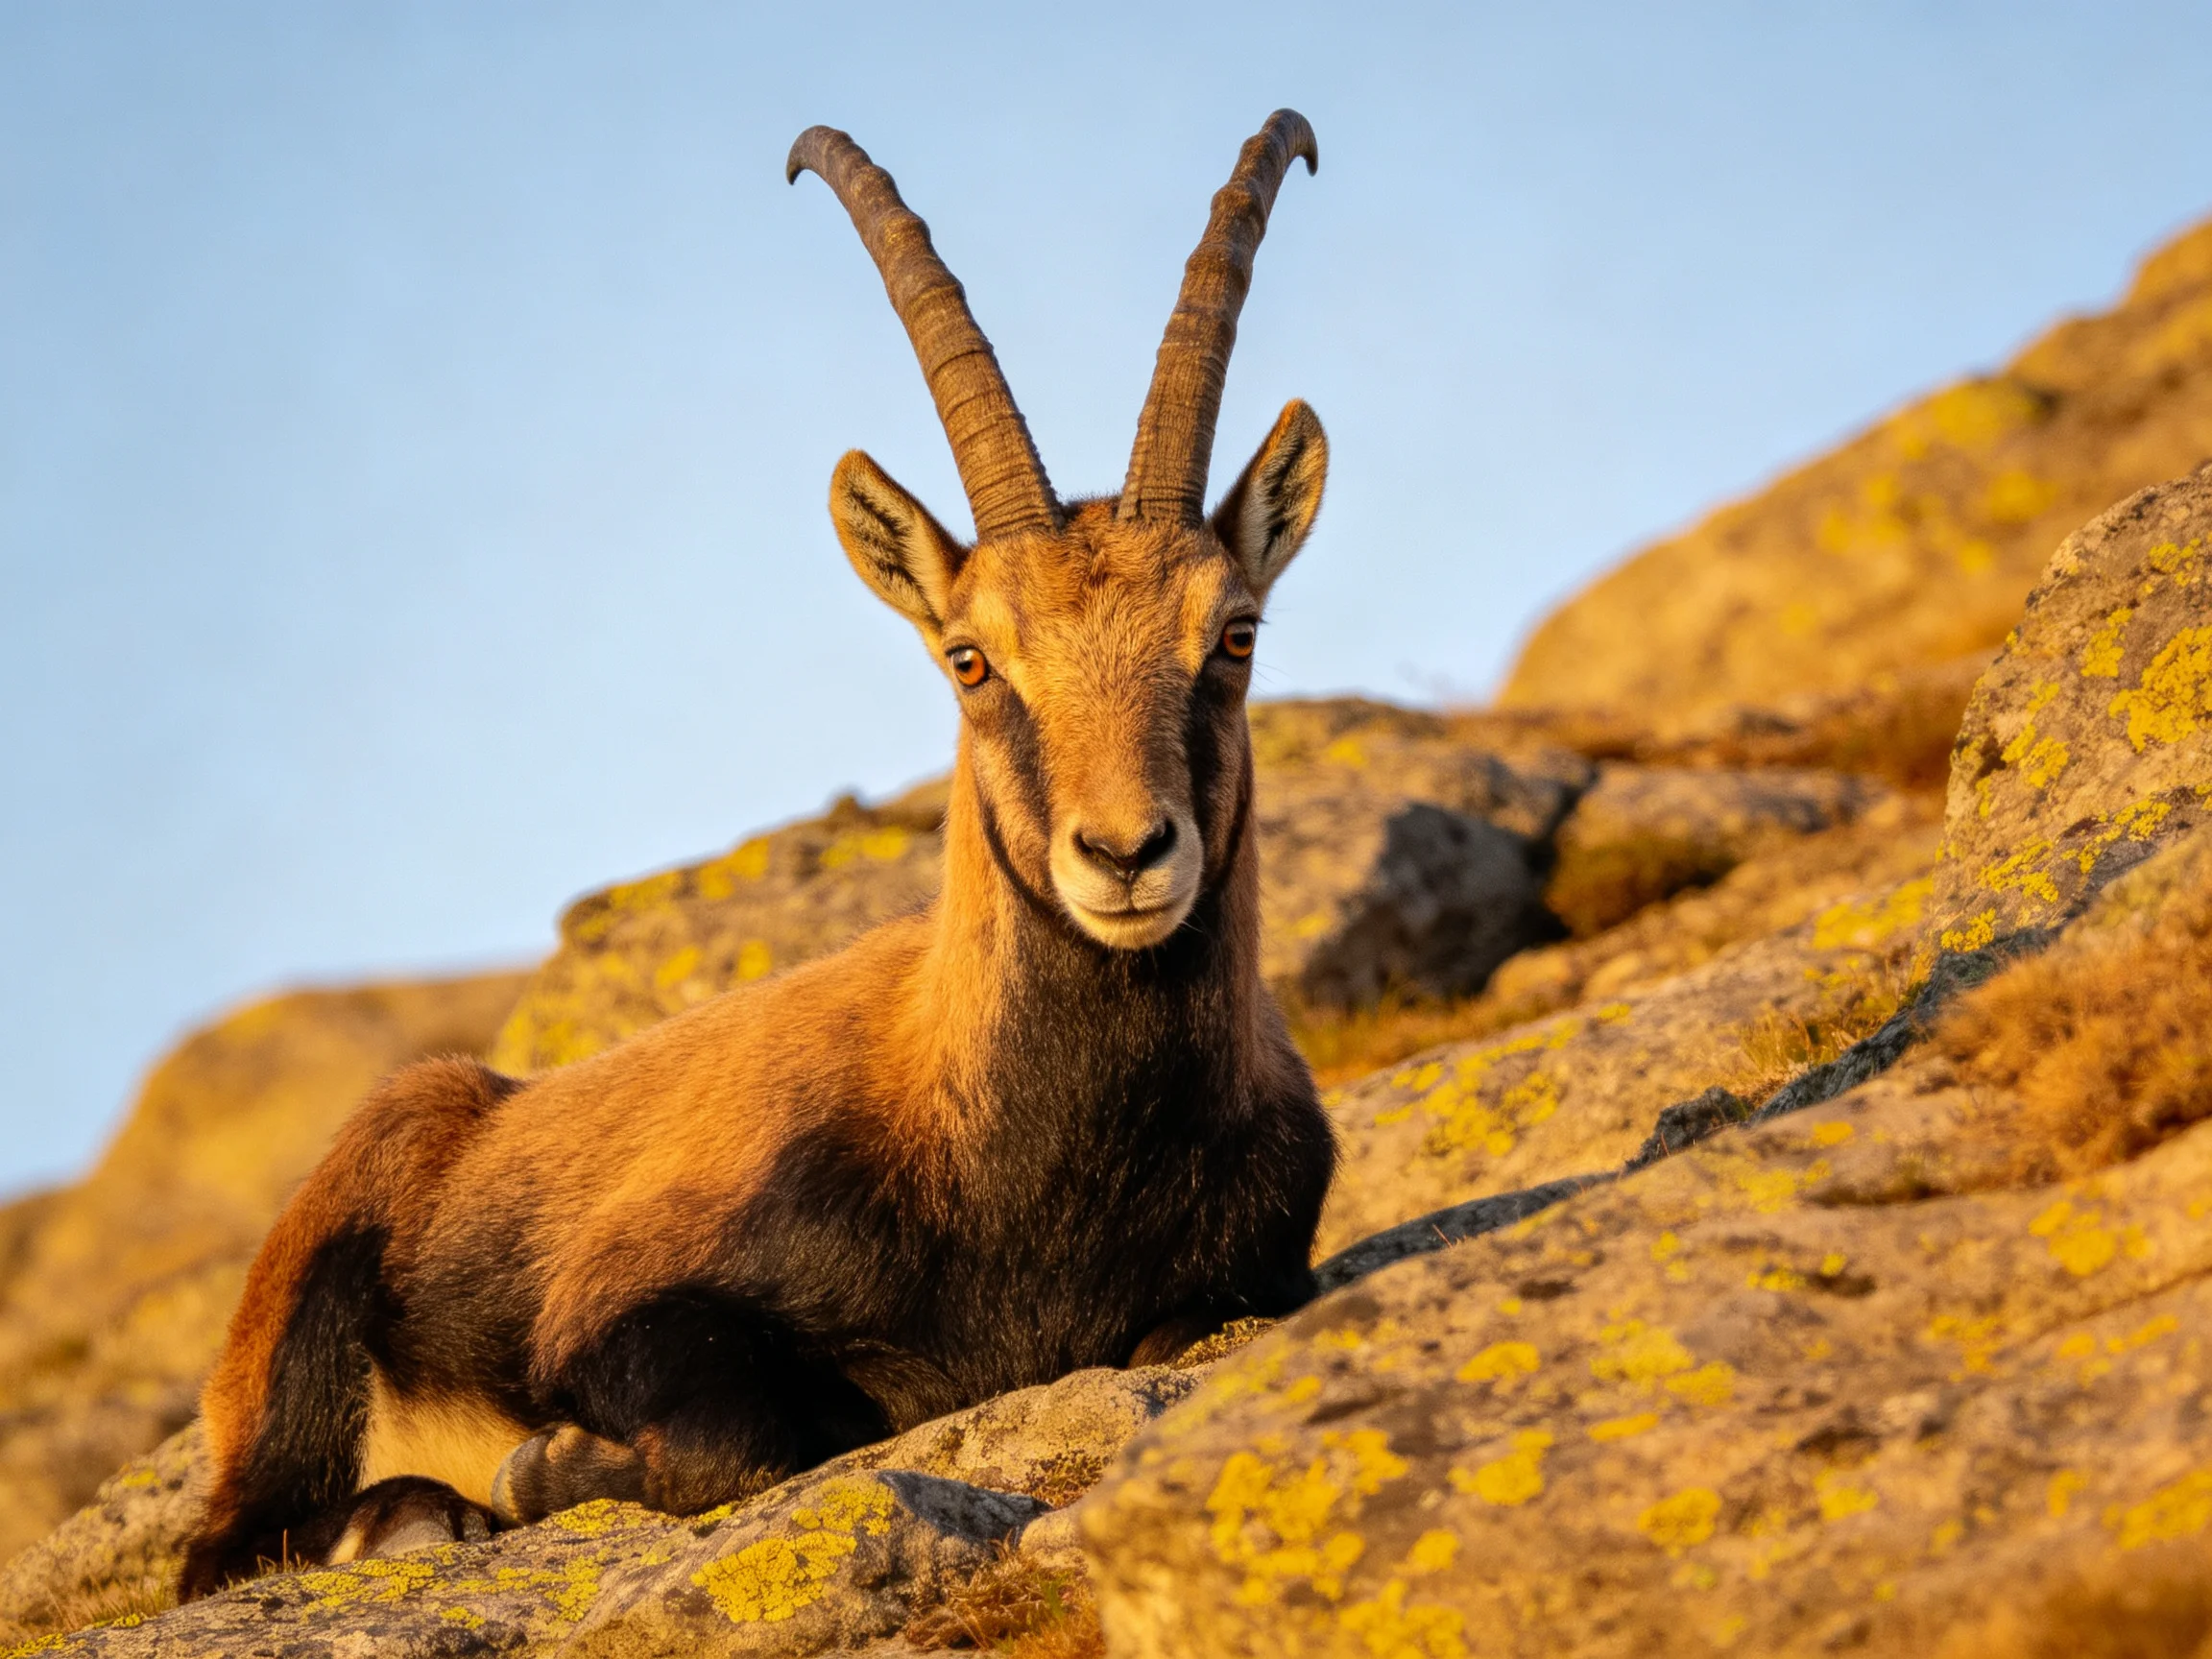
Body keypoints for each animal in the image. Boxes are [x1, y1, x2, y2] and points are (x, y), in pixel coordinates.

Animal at [179, 110, 1336, 1596]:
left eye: (1233, 633)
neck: (1023, 1167)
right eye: (970, 658)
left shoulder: (1252, 1278)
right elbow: (755, 1434)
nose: (1127, 853)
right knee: (223, 1546)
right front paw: (537, 1470)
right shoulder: (619, 1301)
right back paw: (410, 1513)